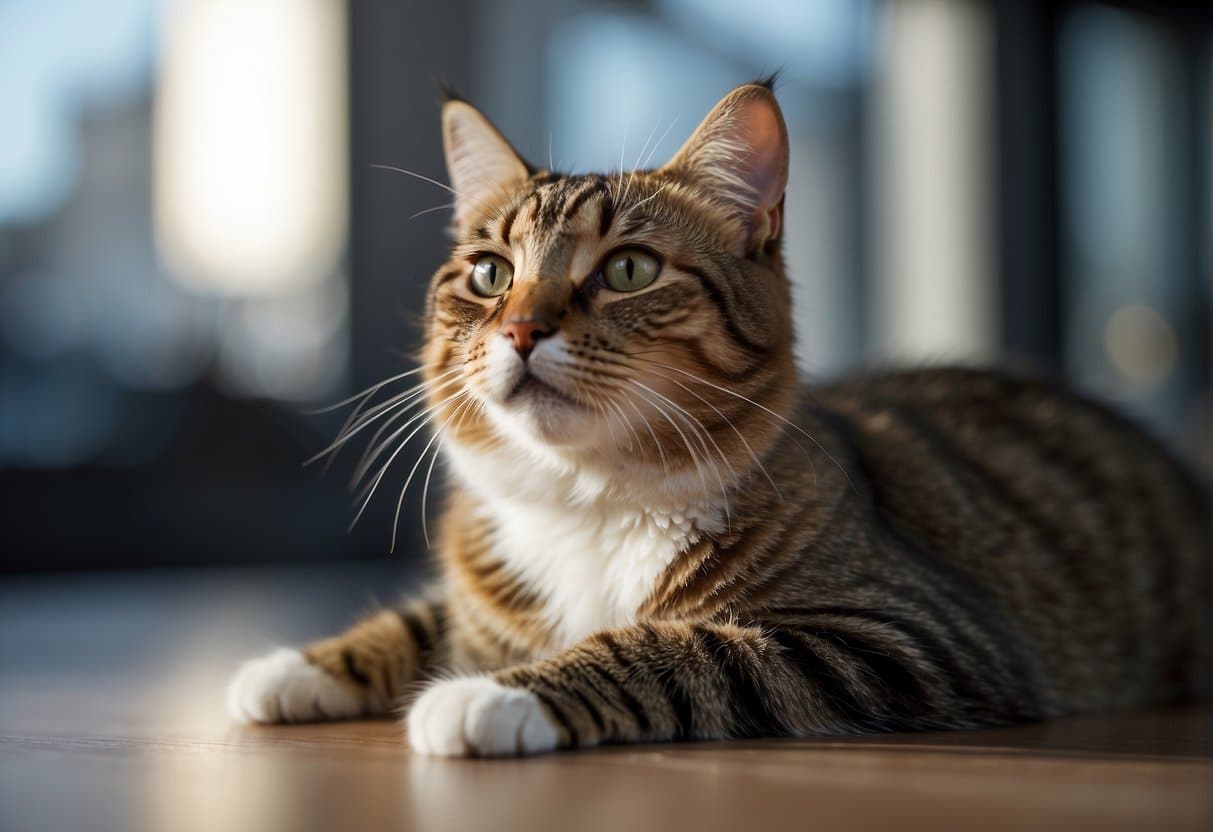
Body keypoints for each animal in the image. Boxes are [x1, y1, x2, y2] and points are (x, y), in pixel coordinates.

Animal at [228, 81, 1213, 761]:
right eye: (488, 274)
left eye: (627, 269)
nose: (519, 328)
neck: (589, 500)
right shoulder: (478, 593)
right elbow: (418, 619)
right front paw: (300, 666)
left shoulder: (903, 634)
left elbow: (670, 648)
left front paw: (495, 696)